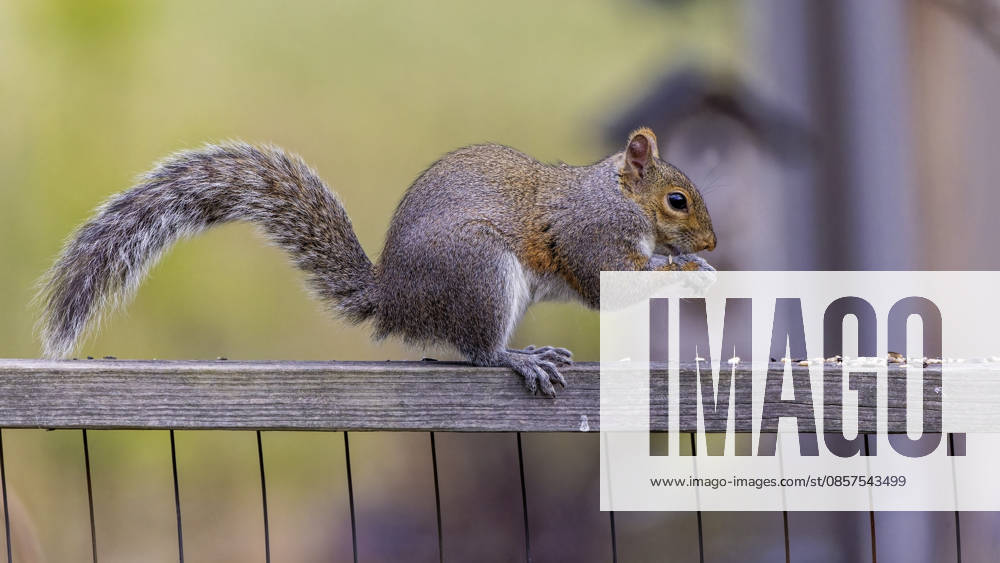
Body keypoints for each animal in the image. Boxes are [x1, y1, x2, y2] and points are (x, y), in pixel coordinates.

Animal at [37, 127, 716, 396]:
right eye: (677, 200)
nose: (711, 244)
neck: (616, 196)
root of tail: (395, 298)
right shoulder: (589, 235)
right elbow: (609, 284)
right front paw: (685, 272)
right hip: (482, 275)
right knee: (478, 351)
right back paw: (520, 358)